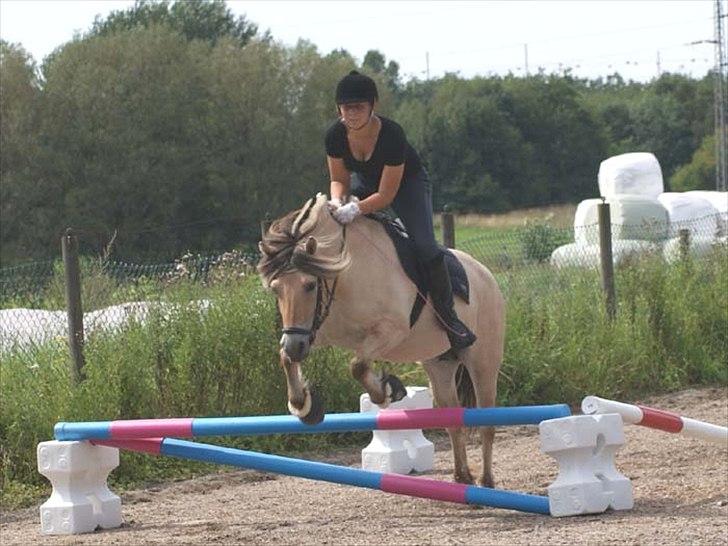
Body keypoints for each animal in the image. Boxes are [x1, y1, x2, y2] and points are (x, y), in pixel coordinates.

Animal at [258, 192, 506, 484]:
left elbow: (358, 366)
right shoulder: (314, 330)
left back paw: (486, 481)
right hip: (440, 363)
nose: (296, 347)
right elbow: (285, 359)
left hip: (482, 362)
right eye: (276, 289)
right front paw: (305, 405)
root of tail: (486, 274)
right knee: (453, 418)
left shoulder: (391, 330)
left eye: (309, 285)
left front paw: (389, 390)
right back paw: (462, 477)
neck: (345, 274)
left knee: (487, 422)